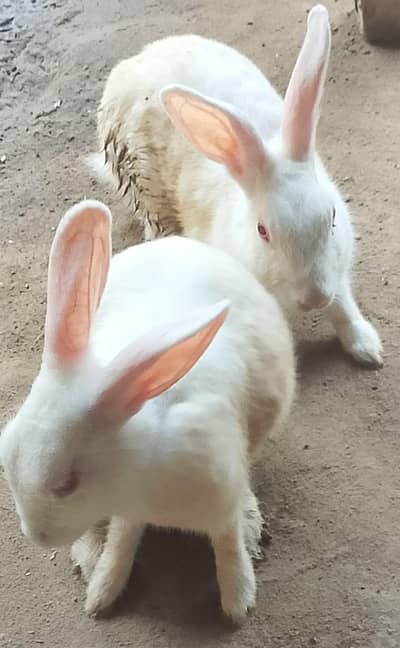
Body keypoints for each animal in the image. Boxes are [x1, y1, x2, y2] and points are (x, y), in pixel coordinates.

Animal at [0, 200, 295, 622]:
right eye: (5, 454)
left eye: (67, 484)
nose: (35, 536)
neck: (140, 469)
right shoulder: (129, 512)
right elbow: (122, 542)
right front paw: (102, 593)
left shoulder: (219, 498)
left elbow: (227, 544)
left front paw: (237, 603)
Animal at [89, 4, 383, 369]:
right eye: (262, 231)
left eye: (331, 219)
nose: (314, 297)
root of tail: (131, 63)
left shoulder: (337, 271)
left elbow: (343, 308)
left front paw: (367, 349)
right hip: (146, 190)